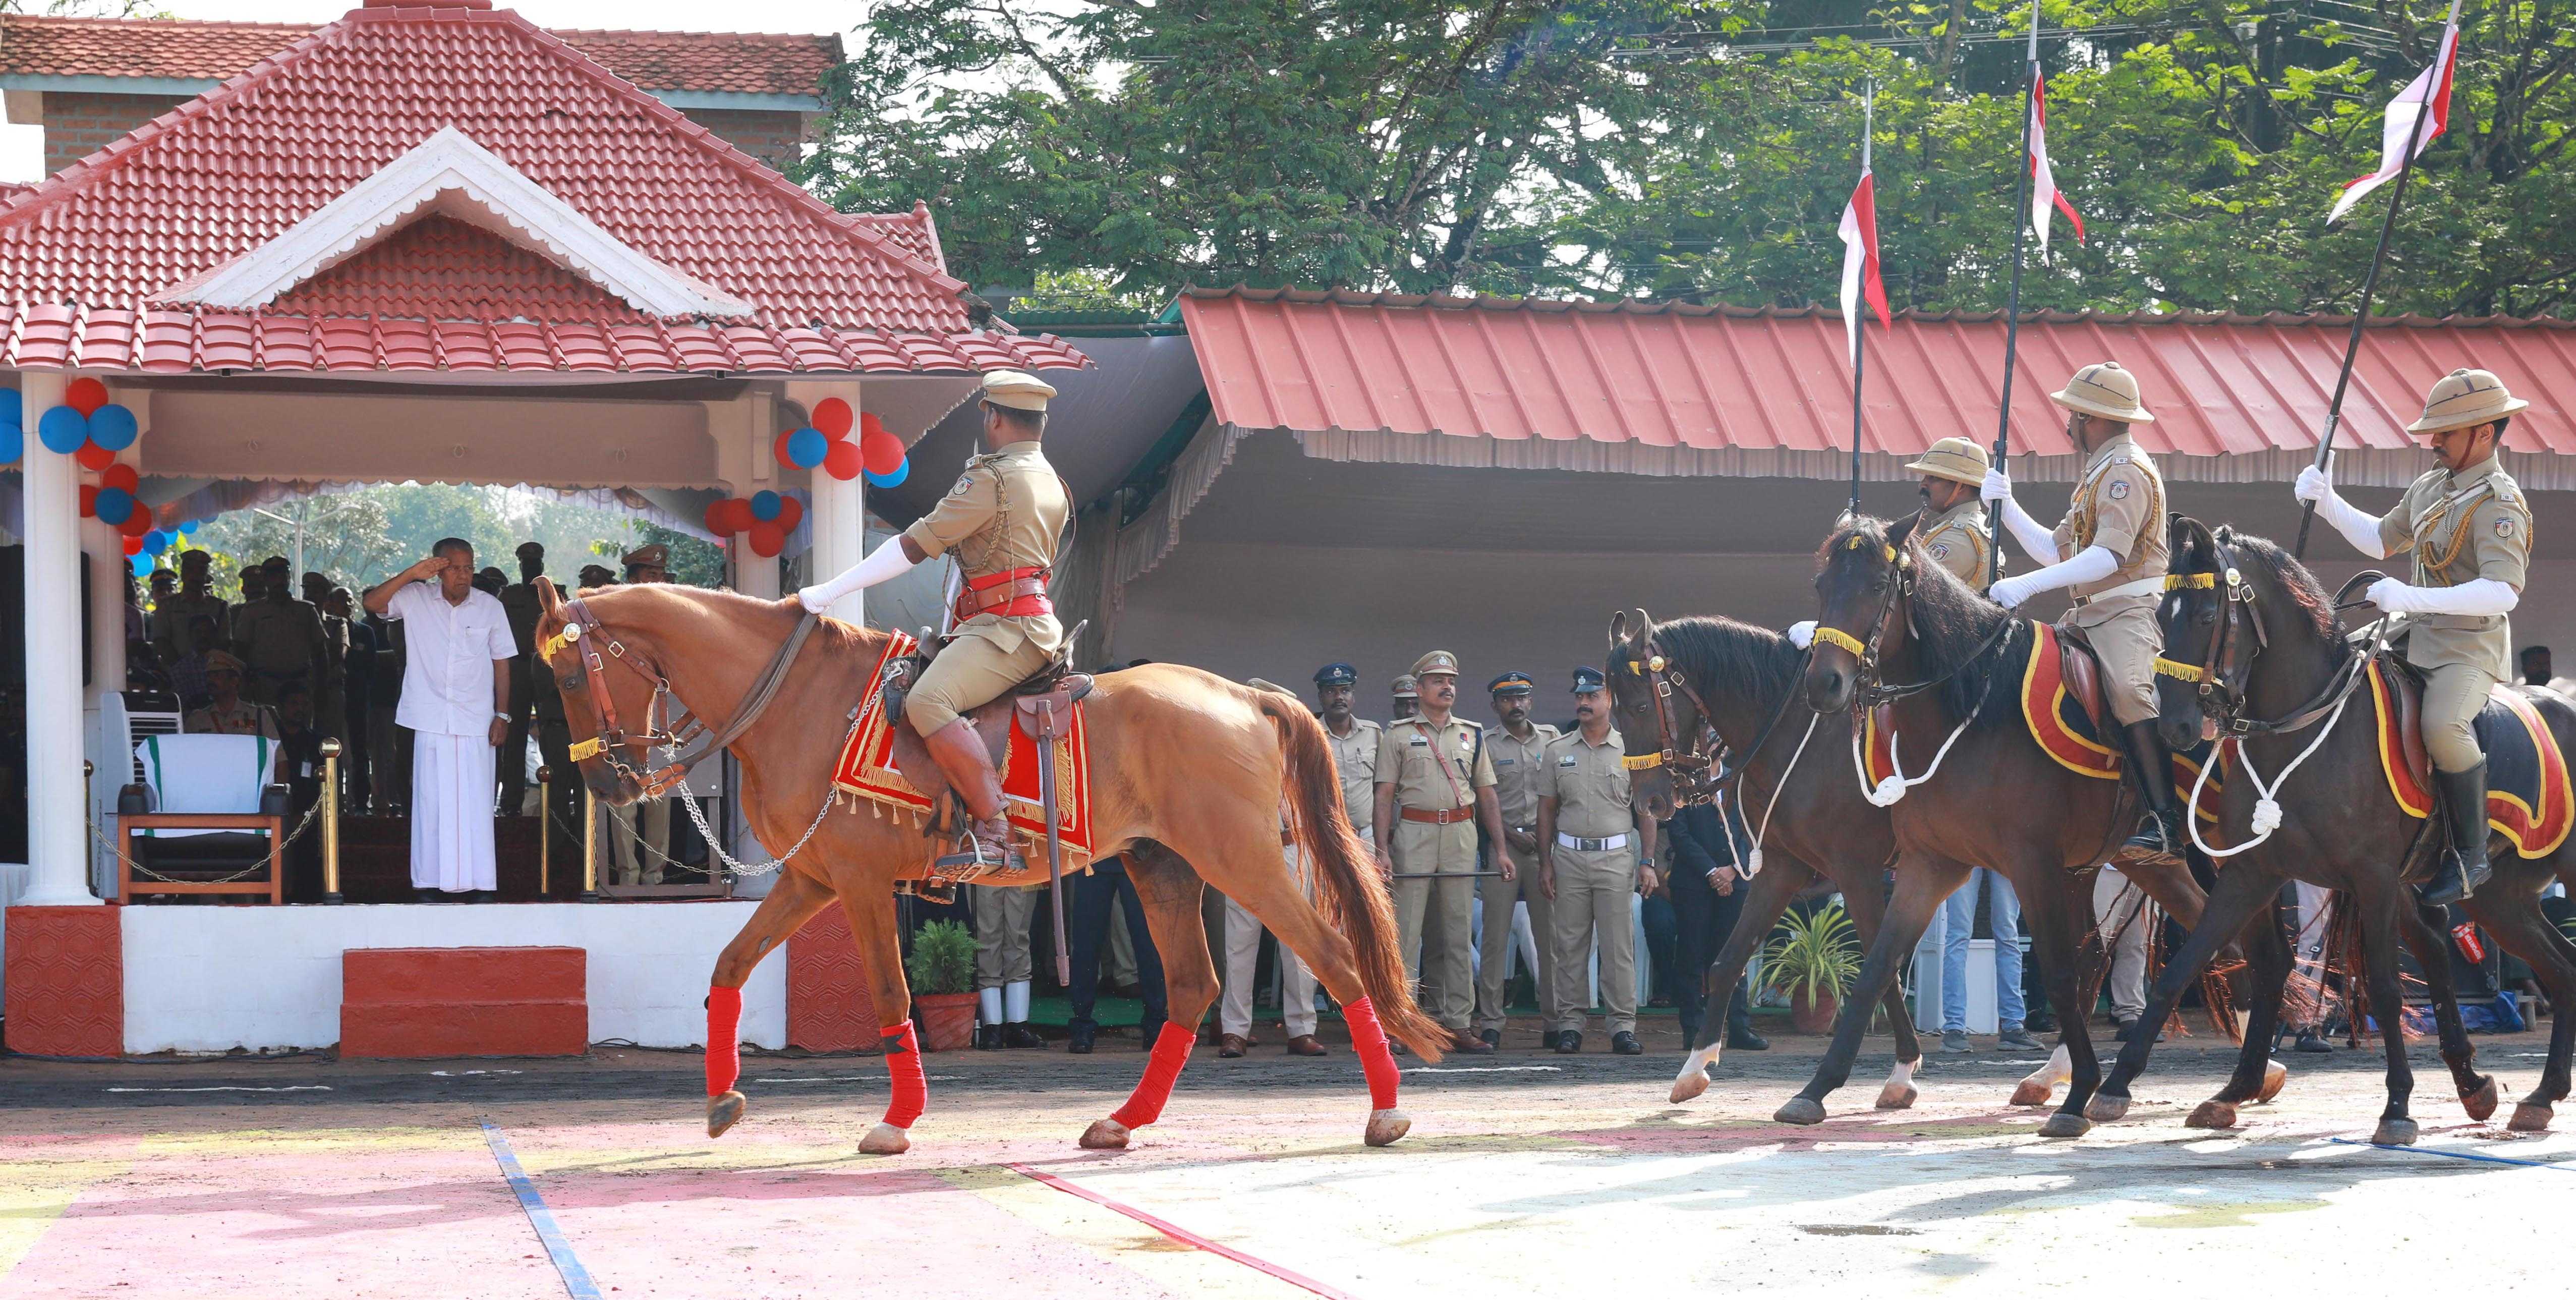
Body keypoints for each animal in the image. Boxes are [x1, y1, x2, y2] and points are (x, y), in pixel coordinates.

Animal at [528, 574, 1453, 1143]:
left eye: (569, 674)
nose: (602, 781)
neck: (799, 699)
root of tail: (1244, 694)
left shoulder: (859, 883)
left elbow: (890, 994)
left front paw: (897, 1120)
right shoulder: (810, 877)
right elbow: (727, 964)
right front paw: (721, 1096)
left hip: (1242, 860)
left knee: (1333, 956)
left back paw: (1385, 1112)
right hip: (1162, 866)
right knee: (1193, 985)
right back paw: (1123, 1120)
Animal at [1803, 512, 2246, 1133]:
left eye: (1873, 586)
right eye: (1823, 587)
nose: (1823, 684)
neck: (1969, 711)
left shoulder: (2031, 864)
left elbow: (2057, 971)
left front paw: (2079, 1092)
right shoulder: (1930, 864)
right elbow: (1877, 967)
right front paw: (1815, 1089)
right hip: (2138, 862)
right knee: (2206, 937)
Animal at [2081, 522, 2565, 1138]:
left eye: (2207, 614)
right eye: (2159, 618)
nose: (2175, 726)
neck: (2302, 731)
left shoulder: (2373, 879)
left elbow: (2382, 988)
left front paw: (2397, 1107)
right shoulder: (2249, 872)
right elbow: (2186, 967)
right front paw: (2121, 1086)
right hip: (2499, 898)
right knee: (2552, 964)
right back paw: (2530, 1093)